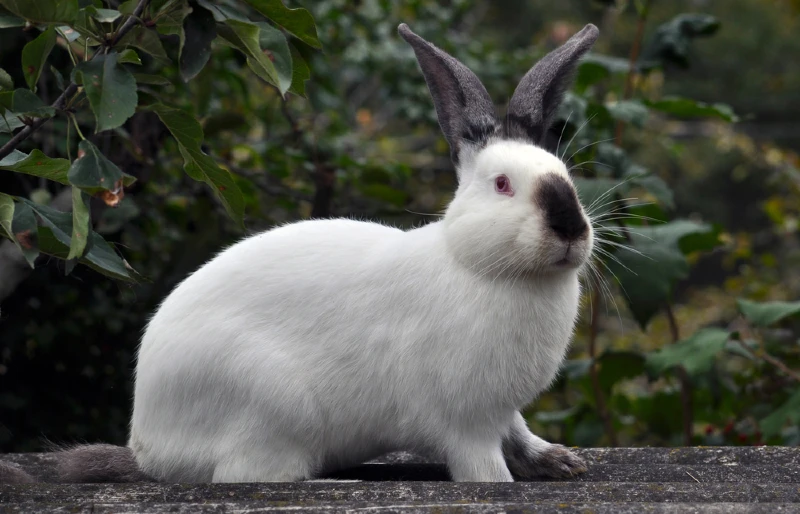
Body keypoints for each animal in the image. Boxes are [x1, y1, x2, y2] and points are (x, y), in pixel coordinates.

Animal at [1, 22, 600, 482]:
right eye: (502, 184)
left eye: (566, 176)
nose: (571, 228)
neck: (479, 264)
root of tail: (149, 448)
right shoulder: (466, 423)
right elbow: (484, 468)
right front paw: (509, 480)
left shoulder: (503, 412)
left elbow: (520, 434)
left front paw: (561, 463)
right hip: (272, 405)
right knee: (243, 475)